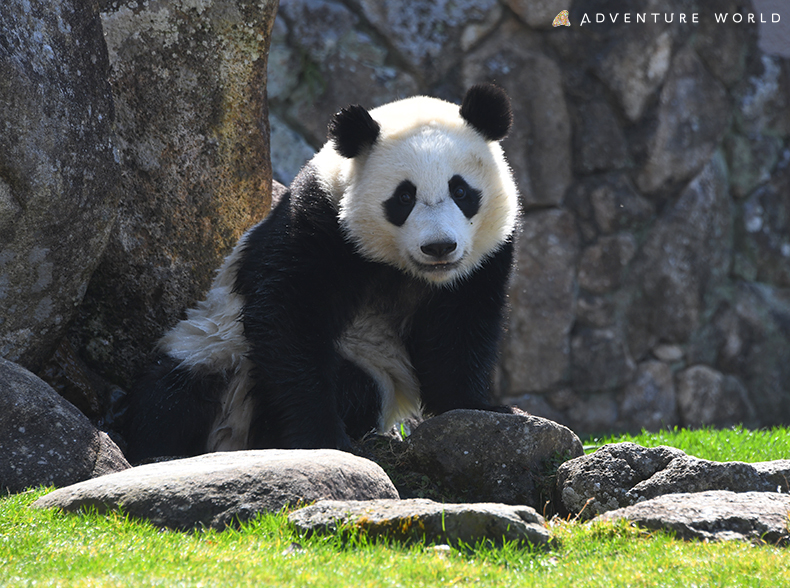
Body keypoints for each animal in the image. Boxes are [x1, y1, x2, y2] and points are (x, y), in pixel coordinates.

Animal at [125, 82, 520, 462]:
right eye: (404, 197)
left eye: (461, 190)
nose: (439, 247)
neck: (404, 269)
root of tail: (232, 433)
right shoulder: (320, 220)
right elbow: (288, 315)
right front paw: (322, 436)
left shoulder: (485, 259)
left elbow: (461, 328)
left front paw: (478, 409)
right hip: (213, 346)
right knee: (171, 391)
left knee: (358, 387)